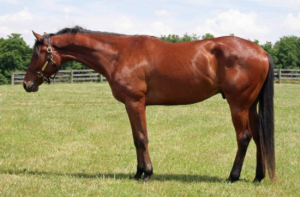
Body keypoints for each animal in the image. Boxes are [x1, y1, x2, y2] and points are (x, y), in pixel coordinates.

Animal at [22, 25, 276, 182]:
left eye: (36, 54)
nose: (26, 84)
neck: (118, 54)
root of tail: (261, 51)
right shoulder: (131, 104)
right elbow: (137, 139)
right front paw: (138, 172)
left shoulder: (135, 102)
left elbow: (142, 138)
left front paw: (146, 173)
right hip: (250, 106)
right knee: (259, 137)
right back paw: (258, 177)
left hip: (238, 105)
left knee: (244, 137)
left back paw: (233, 176)